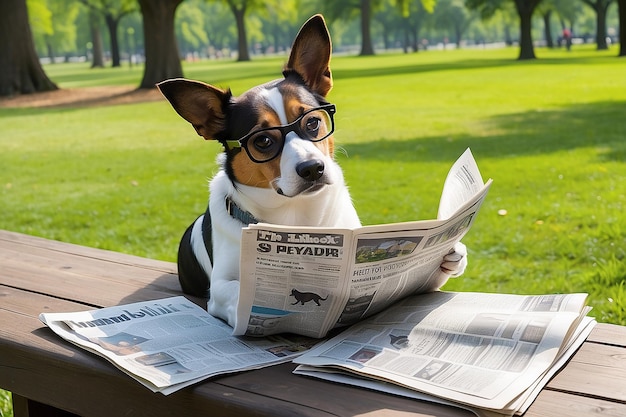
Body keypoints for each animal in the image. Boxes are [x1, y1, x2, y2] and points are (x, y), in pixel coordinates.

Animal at [158, 14, 466, 330]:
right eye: (263, 141)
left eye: (313, 122)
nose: (313, 169)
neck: (297, 217)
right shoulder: (220, 287)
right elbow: (238, 293)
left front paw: (449, 255)